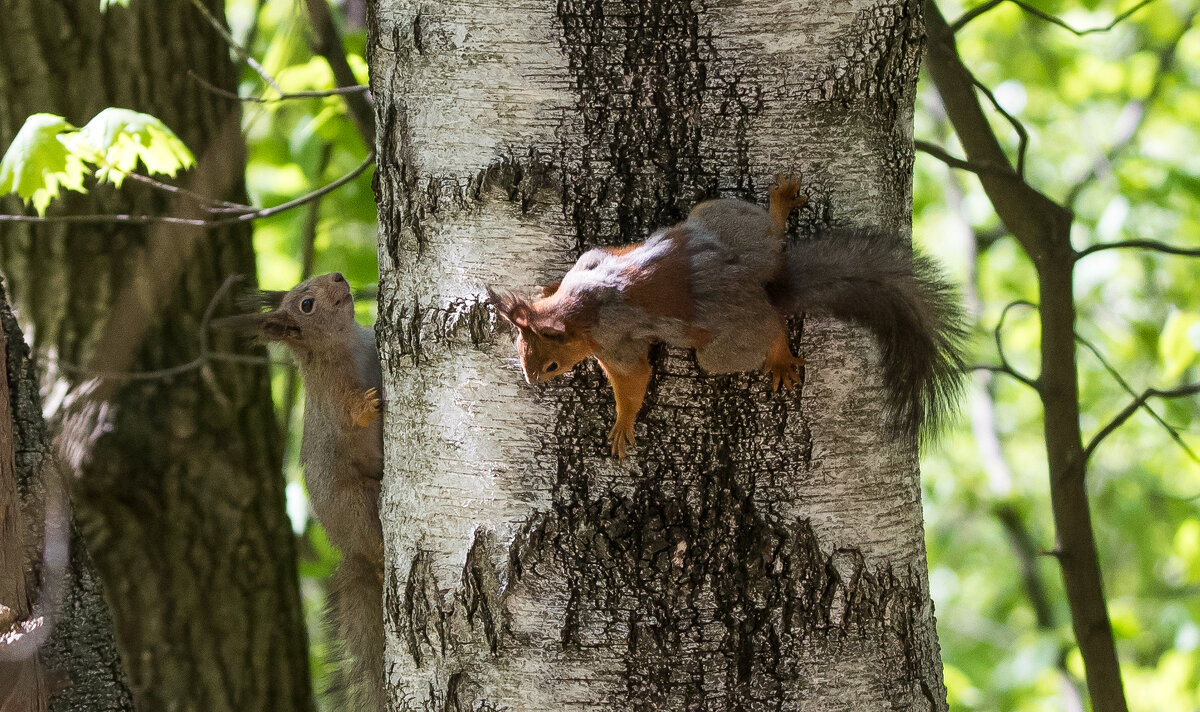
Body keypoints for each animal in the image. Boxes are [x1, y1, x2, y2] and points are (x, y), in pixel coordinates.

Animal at [218, 270, 381, 710]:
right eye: (306, 305)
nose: (338, 275)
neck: (347, 340)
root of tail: (350, 551)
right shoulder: (331, 392)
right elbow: (347, 417)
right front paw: (367, 406)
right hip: (355, 504)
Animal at [487, 175, 964, 458]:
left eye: (551, 365)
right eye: (520, 349)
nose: (531, 381)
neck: (581, 308)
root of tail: (766, 291)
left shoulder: (613, 342)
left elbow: (634, 378)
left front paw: (622, 424)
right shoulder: (593, 261)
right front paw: (544, 288)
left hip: (724, 348)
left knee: (768, 331)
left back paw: (779, 356)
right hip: (720, 218)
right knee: (771, 236)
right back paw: (780, 206)